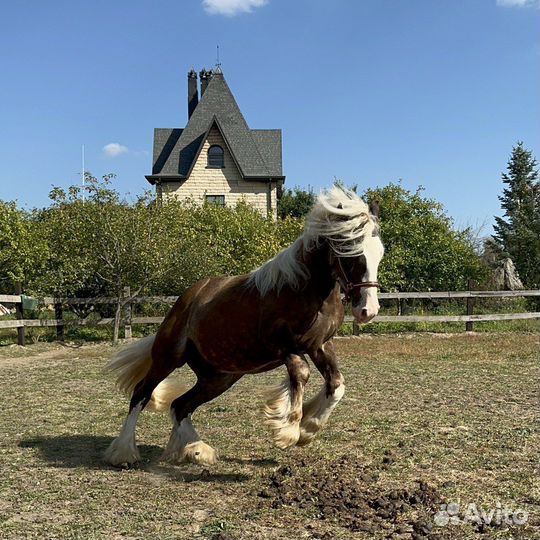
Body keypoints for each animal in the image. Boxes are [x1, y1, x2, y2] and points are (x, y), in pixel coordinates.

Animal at [103, 185, 384, 464]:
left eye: (379, 253)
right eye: (351, 252)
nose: (367, 310)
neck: (305, 289)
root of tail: (186, 300)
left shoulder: (320, 345)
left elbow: (337, 385)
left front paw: (308, 429)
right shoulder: (282, 346)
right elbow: (301, 374)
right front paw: (289, 431)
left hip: (220, 376)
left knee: (180, 406)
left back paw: (196, 450)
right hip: (168, 357)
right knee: (141, 394)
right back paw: (124, 453)